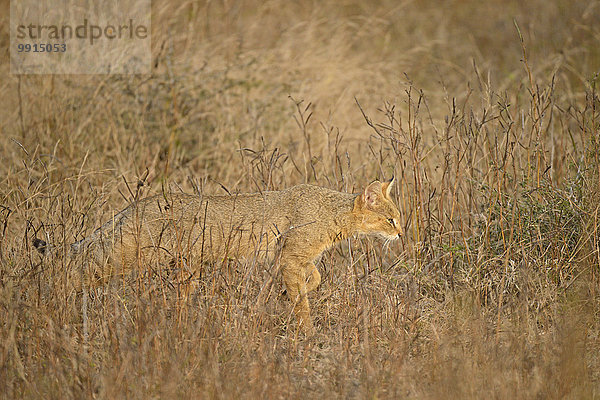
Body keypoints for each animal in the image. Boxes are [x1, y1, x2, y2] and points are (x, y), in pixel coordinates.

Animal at [31, 178, 398, 334]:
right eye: (391, 219)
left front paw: (300, 291)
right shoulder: (290, 259)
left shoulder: (293, 259)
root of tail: (132, 206)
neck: (332, 213)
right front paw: (307, 334)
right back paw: (43, 306)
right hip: (117, 260)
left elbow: (315, 279)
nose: (401, 233)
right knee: (66, 273)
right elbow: (302, 306)